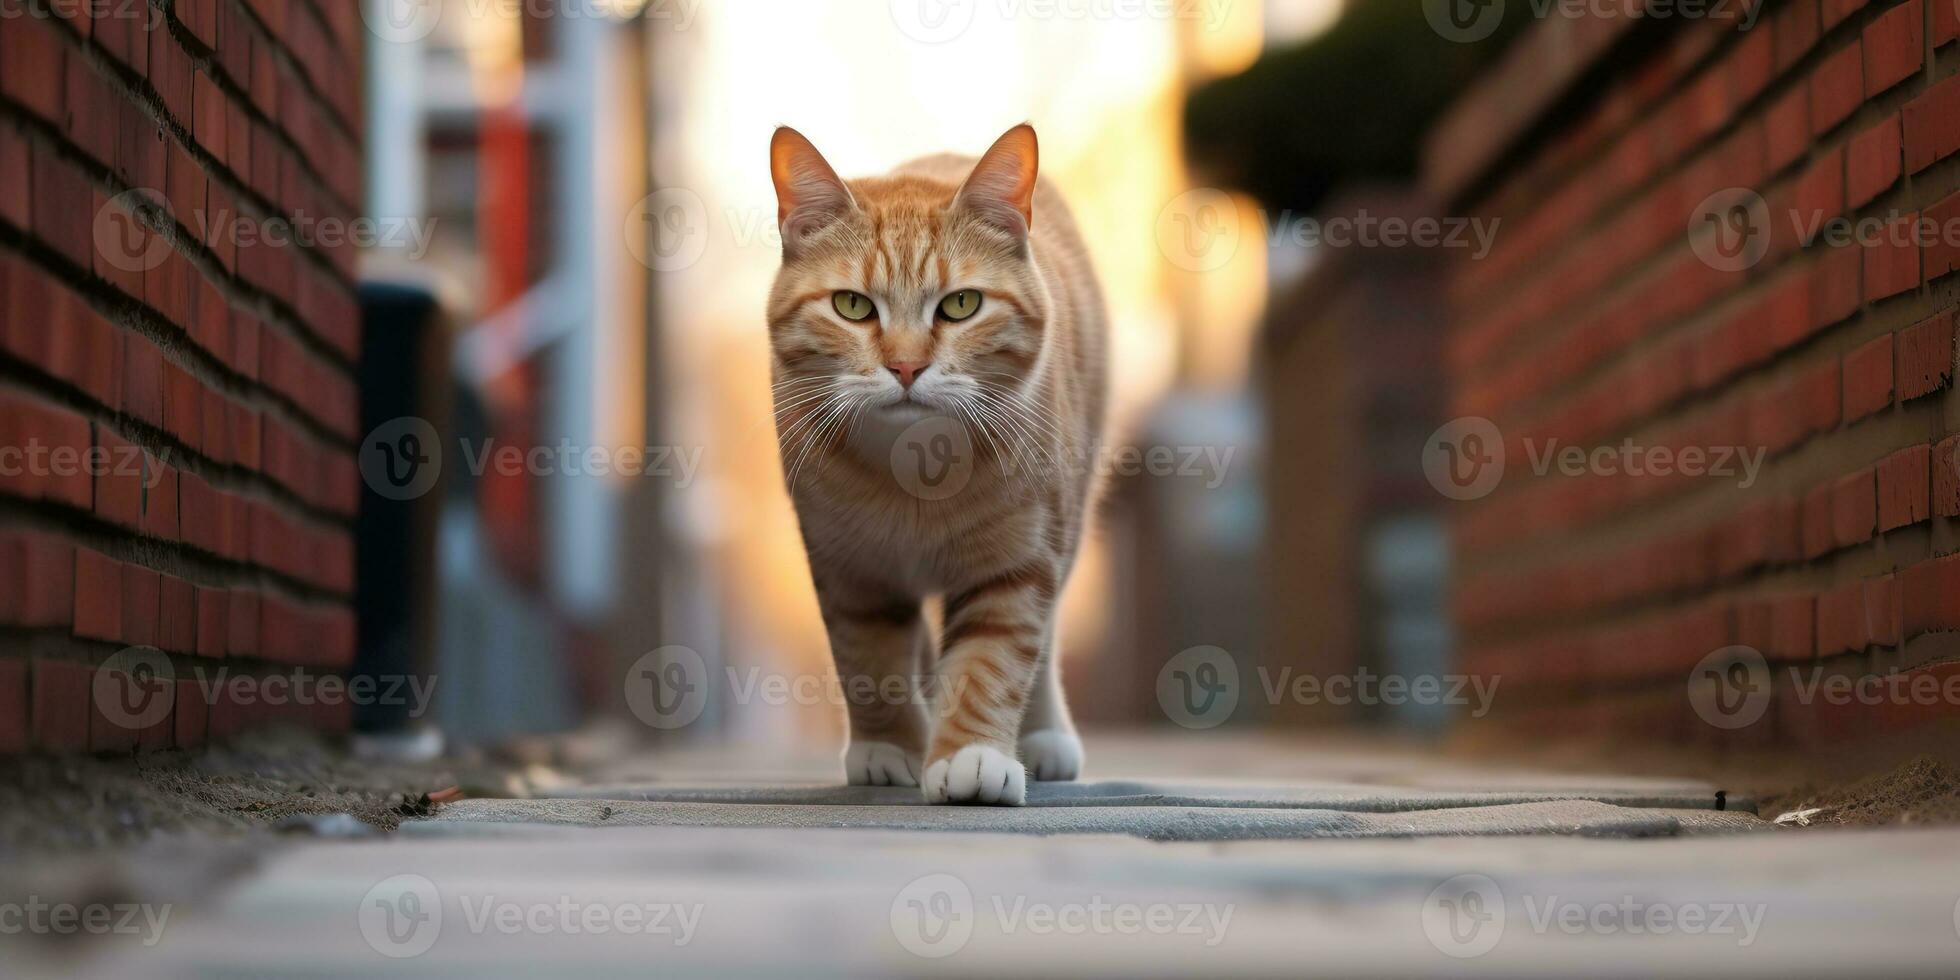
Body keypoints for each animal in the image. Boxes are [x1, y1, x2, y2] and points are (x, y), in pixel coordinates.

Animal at [760, 124, 1105, 803]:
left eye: (962, 304)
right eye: (852, 306)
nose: (906, 366)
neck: (912, 472)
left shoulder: (1016, 561)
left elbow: (991, 661)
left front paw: (971, 756)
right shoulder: (850, 569)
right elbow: (869, 661)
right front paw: (890, 747)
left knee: (1047, 635)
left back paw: (1044, 735)